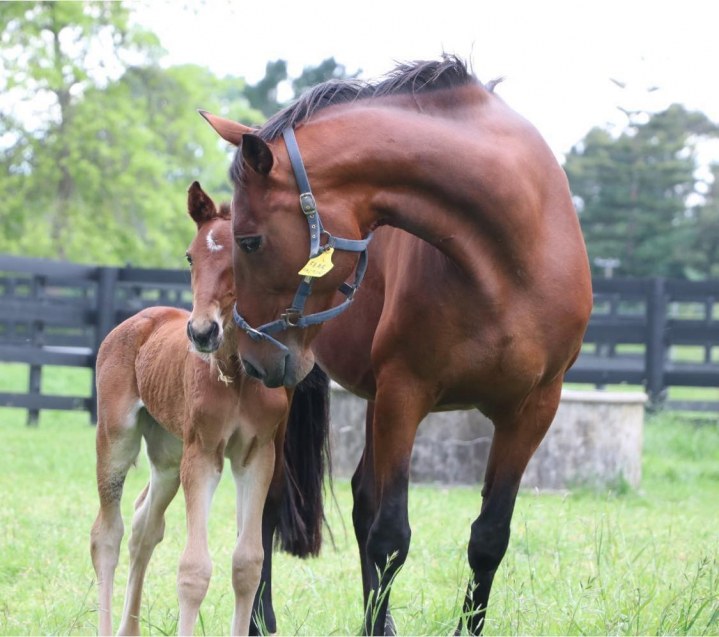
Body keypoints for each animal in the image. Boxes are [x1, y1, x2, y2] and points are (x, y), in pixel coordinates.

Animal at [90, 181, 290, 632]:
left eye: (240, 254)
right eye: (189, 255)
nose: (201, 332)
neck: (236, 375)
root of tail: (137, 319)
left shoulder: (258, 455)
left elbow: (248, 564)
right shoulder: (203, 454)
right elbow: (194, 569)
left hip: (167, 454)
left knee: (145, 527)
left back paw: (130, 629)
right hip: (117, 437)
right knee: (107, 534)